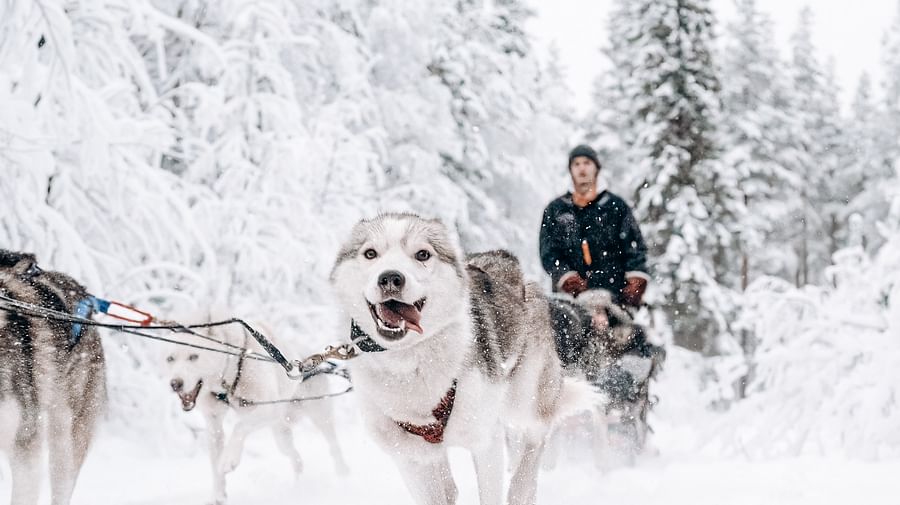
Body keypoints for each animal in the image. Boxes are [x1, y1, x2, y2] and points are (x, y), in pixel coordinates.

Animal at [163, 314, 350, 502]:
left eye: (193, 356)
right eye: (170, 358)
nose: (175, 384)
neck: (231, 367)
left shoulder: (267, 410)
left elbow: (239, 427)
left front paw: (229, 458)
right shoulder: (214, 423)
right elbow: (216, 464)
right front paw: (218, 494)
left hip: (319, 415)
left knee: (333, 445)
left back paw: (342, 473)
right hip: (281, 434)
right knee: (295, 458)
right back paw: (298, 485)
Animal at [328, 213, 592, 504]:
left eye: (422, 254)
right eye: (370, 253)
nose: (390, 278)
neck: (410, 362)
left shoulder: (486, 440)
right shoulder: (410, 458)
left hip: (525, 395)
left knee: (536, 438)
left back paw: (520, 487)